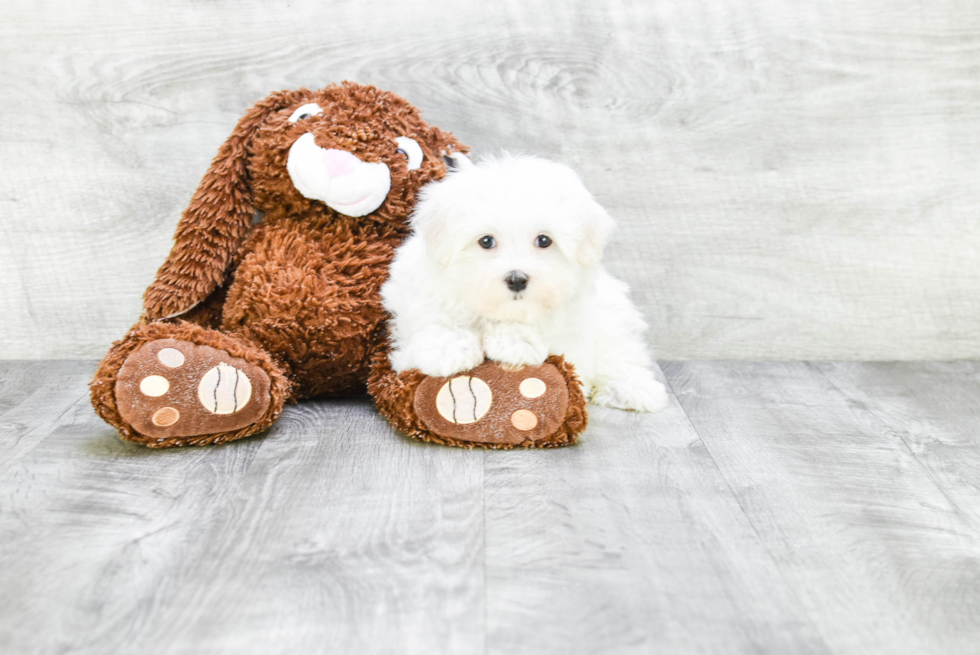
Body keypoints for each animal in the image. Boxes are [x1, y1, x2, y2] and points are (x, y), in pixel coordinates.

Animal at [378, 152, 668, 416]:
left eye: (544, 240)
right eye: (486, 241)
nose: (517, 279)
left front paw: (516, 341)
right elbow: (435, 324)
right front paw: (448, 349)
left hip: (613, 315)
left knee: (621, 352)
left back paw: (633, 389)